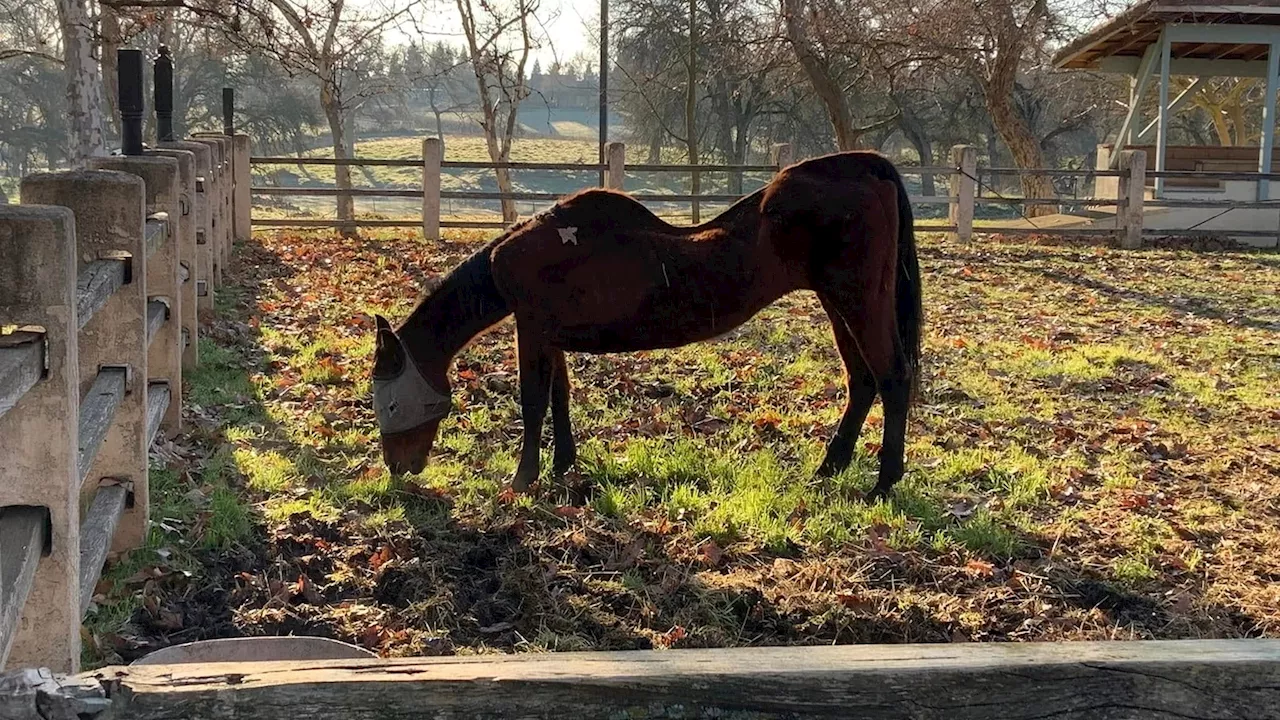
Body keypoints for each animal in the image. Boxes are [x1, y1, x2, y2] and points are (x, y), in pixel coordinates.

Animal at [371, 149, 921, 499]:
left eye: (391, 402)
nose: (398, 469)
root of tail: (864, 166)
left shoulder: (531, 331)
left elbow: (532, 402)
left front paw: (522, 479)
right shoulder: (549, 335)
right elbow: (559, 397)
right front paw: (563, 466)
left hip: (858, 300)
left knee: (892, 378)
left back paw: (883, 483)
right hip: (836, 303)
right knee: (862, 381)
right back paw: (829, 468)